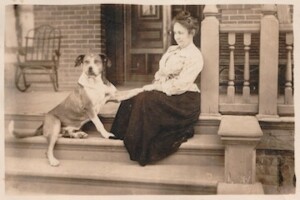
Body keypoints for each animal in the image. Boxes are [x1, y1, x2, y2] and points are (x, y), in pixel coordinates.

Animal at [9, 53, 144, 167]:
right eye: (86, 62)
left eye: (96, 61)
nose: (90, 68)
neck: (95, 82)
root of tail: (42, 124)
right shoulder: (89, 108)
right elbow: (99, 124)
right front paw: (106, 134)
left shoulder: (116, 96)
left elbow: (135, 90)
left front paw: (148, 87)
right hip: (55, 124)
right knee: (49, 148)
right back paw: (53, 160)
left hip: (70, 126)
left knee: (65, 133)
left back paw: (78, 134)